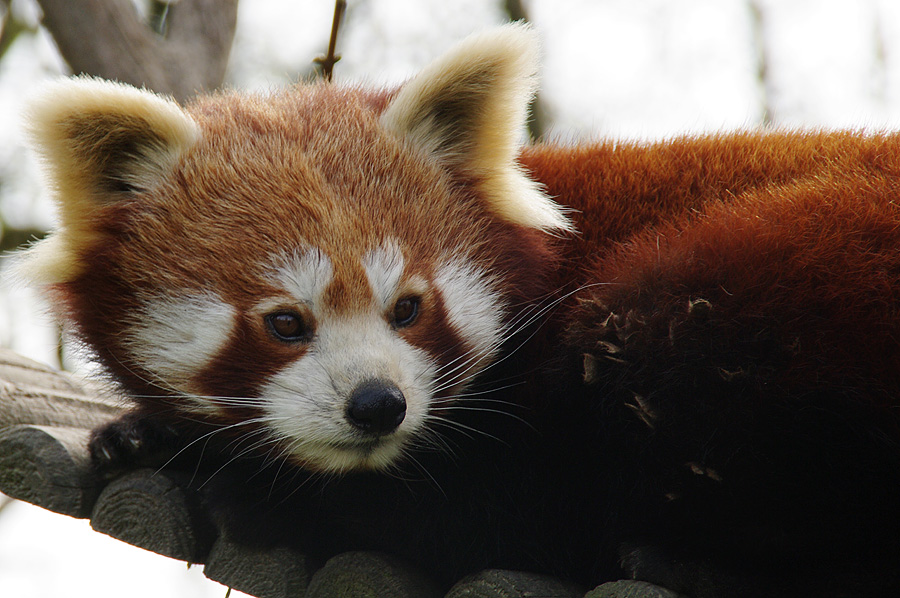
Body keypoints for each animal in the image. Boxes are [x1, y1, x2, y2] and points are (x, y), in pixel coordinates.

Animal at [12, 23, 900, 598]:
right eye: (285, 323)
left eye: (408, 307)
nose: (377, 405)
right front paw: (143, 432)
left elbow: (516, 493)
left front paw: (241, 477)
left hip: (776, 282)